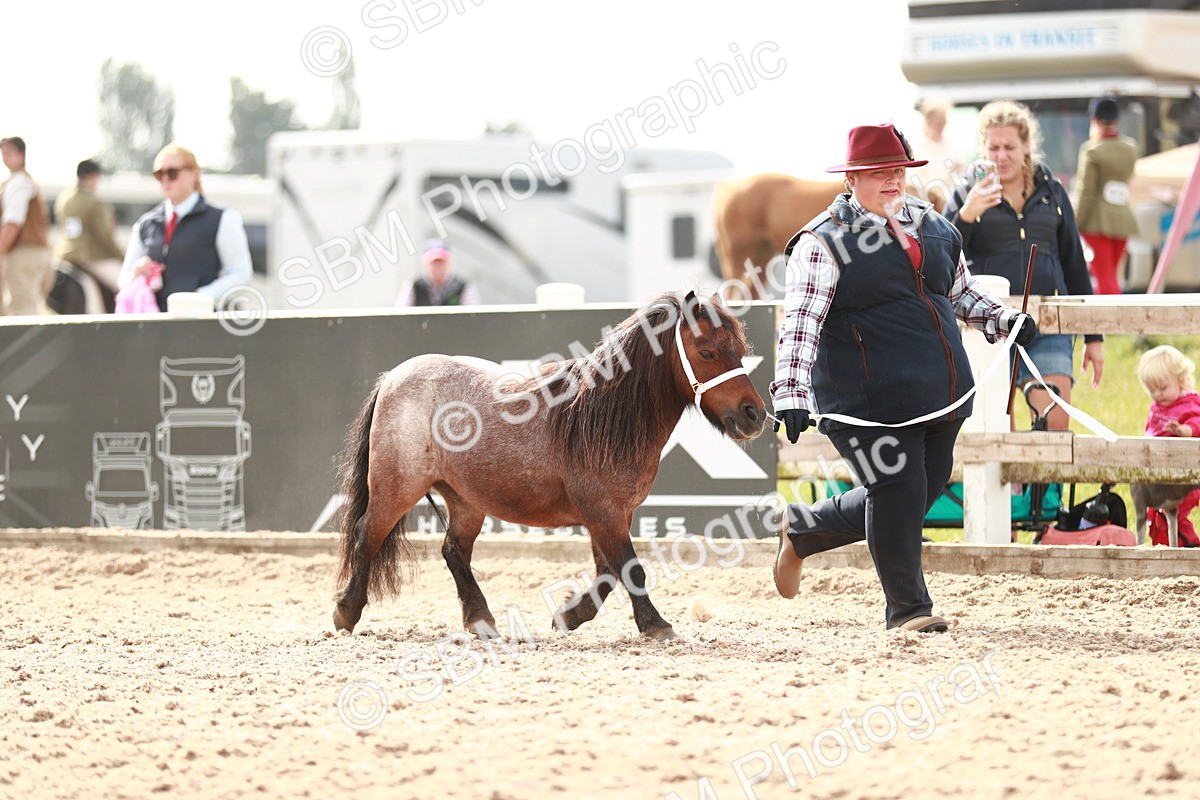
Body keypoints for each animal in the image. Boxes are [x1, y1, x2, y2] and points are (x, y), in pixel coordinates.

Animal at [332, 291, 766, 641]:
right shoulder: (604, 513)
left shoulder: (614, 514)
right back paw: (346, 612)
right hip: (396, 488)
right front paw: (657, 626)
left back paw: (481, 621)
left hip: (465, 500)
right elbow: (630, 570)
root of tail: (394, 377)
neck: (600, 417)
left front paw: (568, 616)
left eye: (740, 349)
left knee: (453, 551)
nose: (754, 415)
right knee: (366, 536)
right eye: (707, 352)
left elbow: (609, 573)